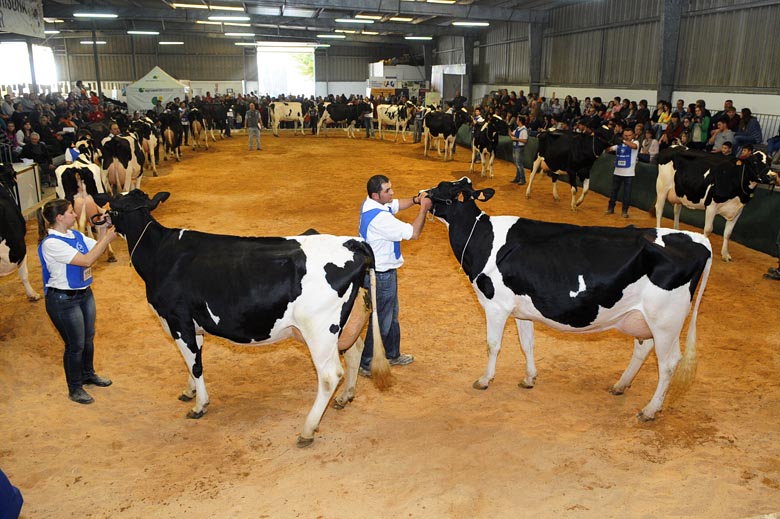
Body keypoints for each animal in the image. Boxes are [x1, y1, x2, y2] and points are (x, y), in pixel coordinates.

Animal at [105, 190, 390, 446]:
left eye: (113, 209)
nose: (103, 221)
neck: (161, 254)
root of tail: (352, 242)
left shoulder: (178, 321)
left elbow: (195, 364)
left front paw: (199, 405)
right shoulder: (194, 327)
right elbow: (192, 360)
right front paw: (189, 391)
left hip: (319, 330)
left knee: (330, 374)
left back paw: (307, 430)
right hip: (345, 323)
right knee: (354, 351)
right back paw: (345, 398)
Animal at [426, 178, 712, 422]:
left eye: (441, 187)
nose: (420, 195)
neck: (483, 239)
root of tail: (698, 239)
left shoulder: (496, 306)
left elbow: (493, 345)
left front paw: (484, 380)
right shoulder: (520, 309)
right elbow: (527, 344)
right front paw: (529, 378)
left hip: (666, 321)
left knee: (668, 364)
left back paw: (650, 410)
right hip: (643, 317)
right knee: (643, 348)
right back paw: (620, 385)